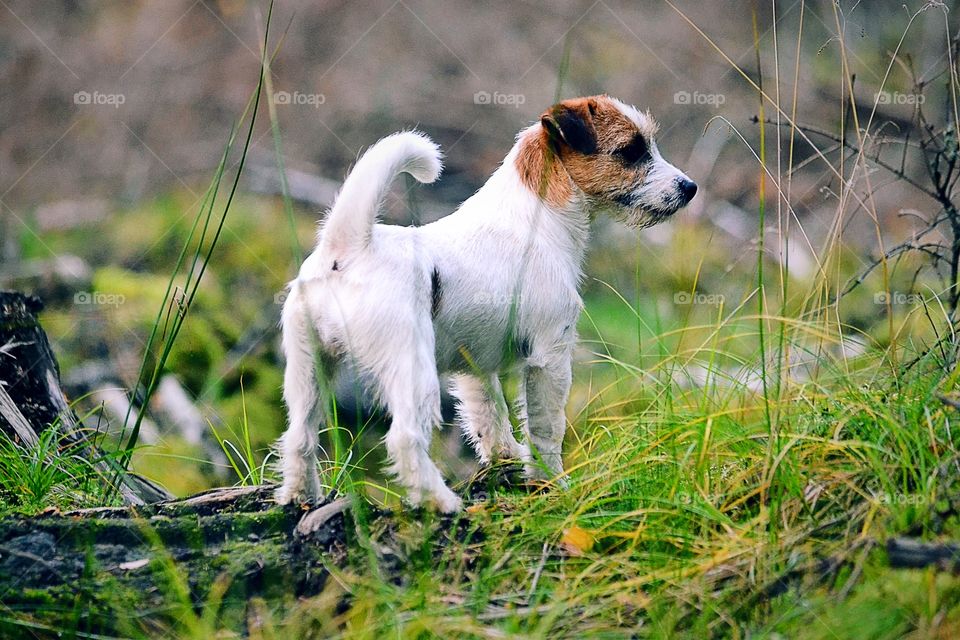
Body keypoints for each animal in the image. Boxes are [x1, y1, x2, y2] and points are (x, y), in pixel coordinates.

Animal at [276, 95, 696, 512]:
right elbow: (546, 428)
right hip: (411, 370)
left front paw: (507, 461)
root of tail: (347, 248)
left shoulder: (475, 368)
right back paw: (440, 501)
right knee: (404, 438)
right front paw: (552, 482)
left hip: (309, 370)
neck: (535, 217)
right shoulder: (550, 356)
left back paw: (300, 497)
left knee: (299, 435)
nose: (689, 187)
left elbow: (491, 416)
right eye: (630, 151)